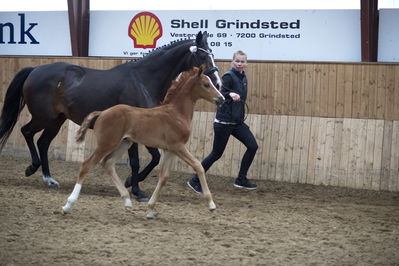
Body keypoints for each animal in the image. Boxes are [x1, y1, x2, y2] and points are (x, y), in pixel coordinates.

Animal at [0, 31, 222, 201]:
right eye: (203, 57)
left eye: (212, 54)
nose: (218, 83)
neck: (143, 80)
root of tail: (35, 69)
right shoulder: (136, 131)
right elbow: (139, 160)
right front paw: (137, 190)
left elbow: (153, 158)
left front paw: (132, 184)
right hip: (44, 117)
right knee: (27, 132)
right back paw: (32, 168)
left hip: (57, 120)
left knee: (43, 142)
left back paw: (48, 178)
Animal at [63, 66, 225, 218]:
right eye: (206, 84)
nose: (221, 99)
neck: (176, 113)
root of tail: (102, 112)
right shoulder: (178, 146)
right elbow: (198, 166)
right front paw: (211, 204)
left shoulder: (169, 150)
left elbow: (164, 177)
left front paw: (150, 209)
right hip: (107, 144)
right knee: (86, 165)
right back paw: (68, 205)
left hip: (124, 143)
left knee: (107, 163)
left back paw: (127, 200)